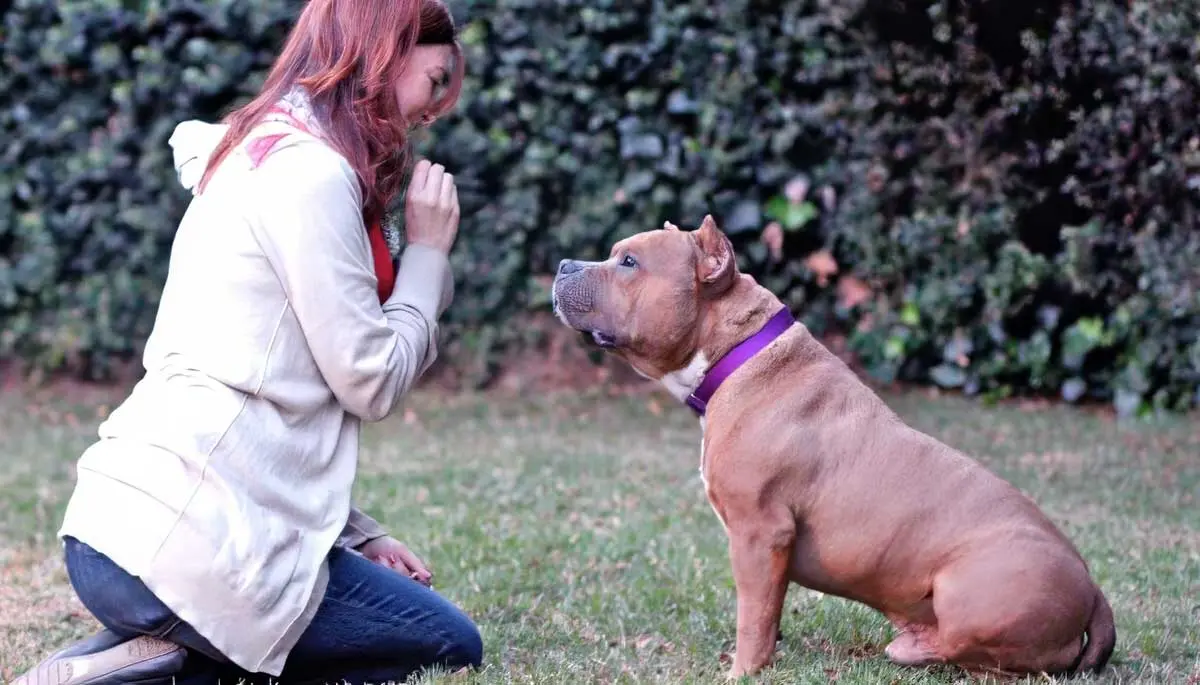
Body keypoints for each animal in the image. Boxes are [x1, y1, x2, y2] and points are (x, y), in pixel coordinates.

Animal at [549, 217, 1113, 676]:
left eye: (628, 262)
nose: (562, 264)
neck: (741, 353)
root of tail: (1092, 589)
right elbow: (767, 608)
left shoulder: (760, 533)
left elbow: (751, 614)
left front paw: (744, 670)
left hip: (968, 592)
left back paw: (915, 647)